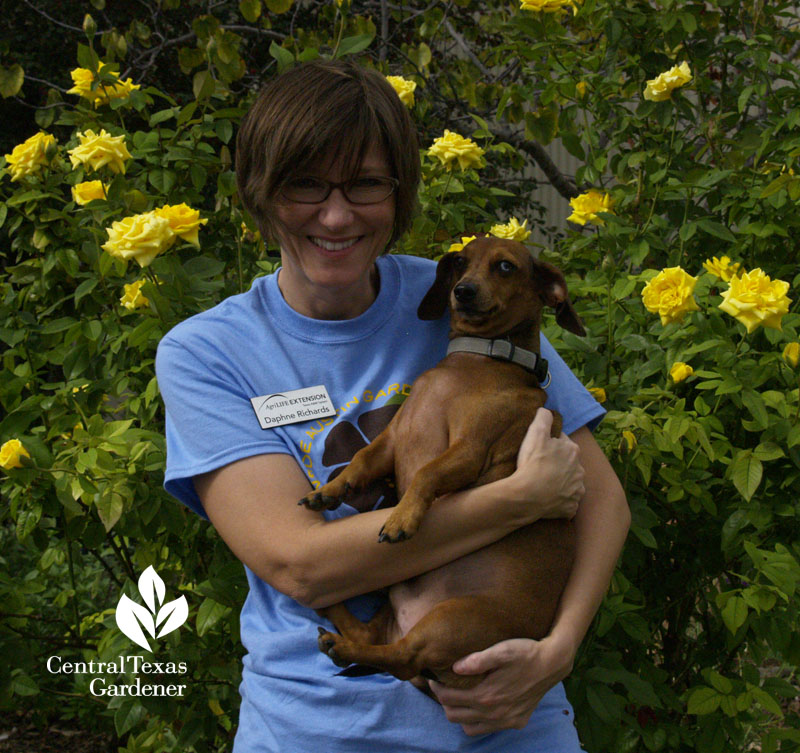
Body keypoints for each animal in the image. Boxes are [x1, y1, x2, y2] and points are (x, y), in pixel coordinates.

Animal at [296, 236, 584, 688]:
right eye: (461, 262)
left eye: (505, 266)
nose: (463, 291)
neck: (478, 361)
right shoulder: (391, 441)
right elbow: (359, 459)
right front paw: (330, 491)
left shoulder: (469, 450)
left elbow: (427, 472)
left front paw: (402, 517)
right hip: (399, 603)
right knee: (372, 635)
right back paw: (334, 614)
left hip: (454, 618)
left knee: (401, 657)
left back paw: (344, 647)